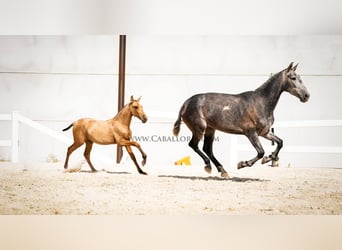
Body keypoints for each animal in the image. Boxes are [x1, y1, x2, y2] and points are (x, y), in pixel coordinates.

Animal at [174, 62, 310, 178]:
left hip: (210, 129)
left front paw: (270, 158)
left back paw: (223, 171)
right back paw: (208, 166)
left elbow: (280, 142)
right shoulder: (250, 132)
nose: (306, 96)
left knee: (207, 149)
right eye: (293, 78)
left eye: (300, 77)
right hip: (200, 128)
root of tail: (186, 103)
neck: (261, 102)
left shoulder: (264, 132)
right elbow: (261, 152)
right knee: (194, 145)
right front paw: (243, 164)